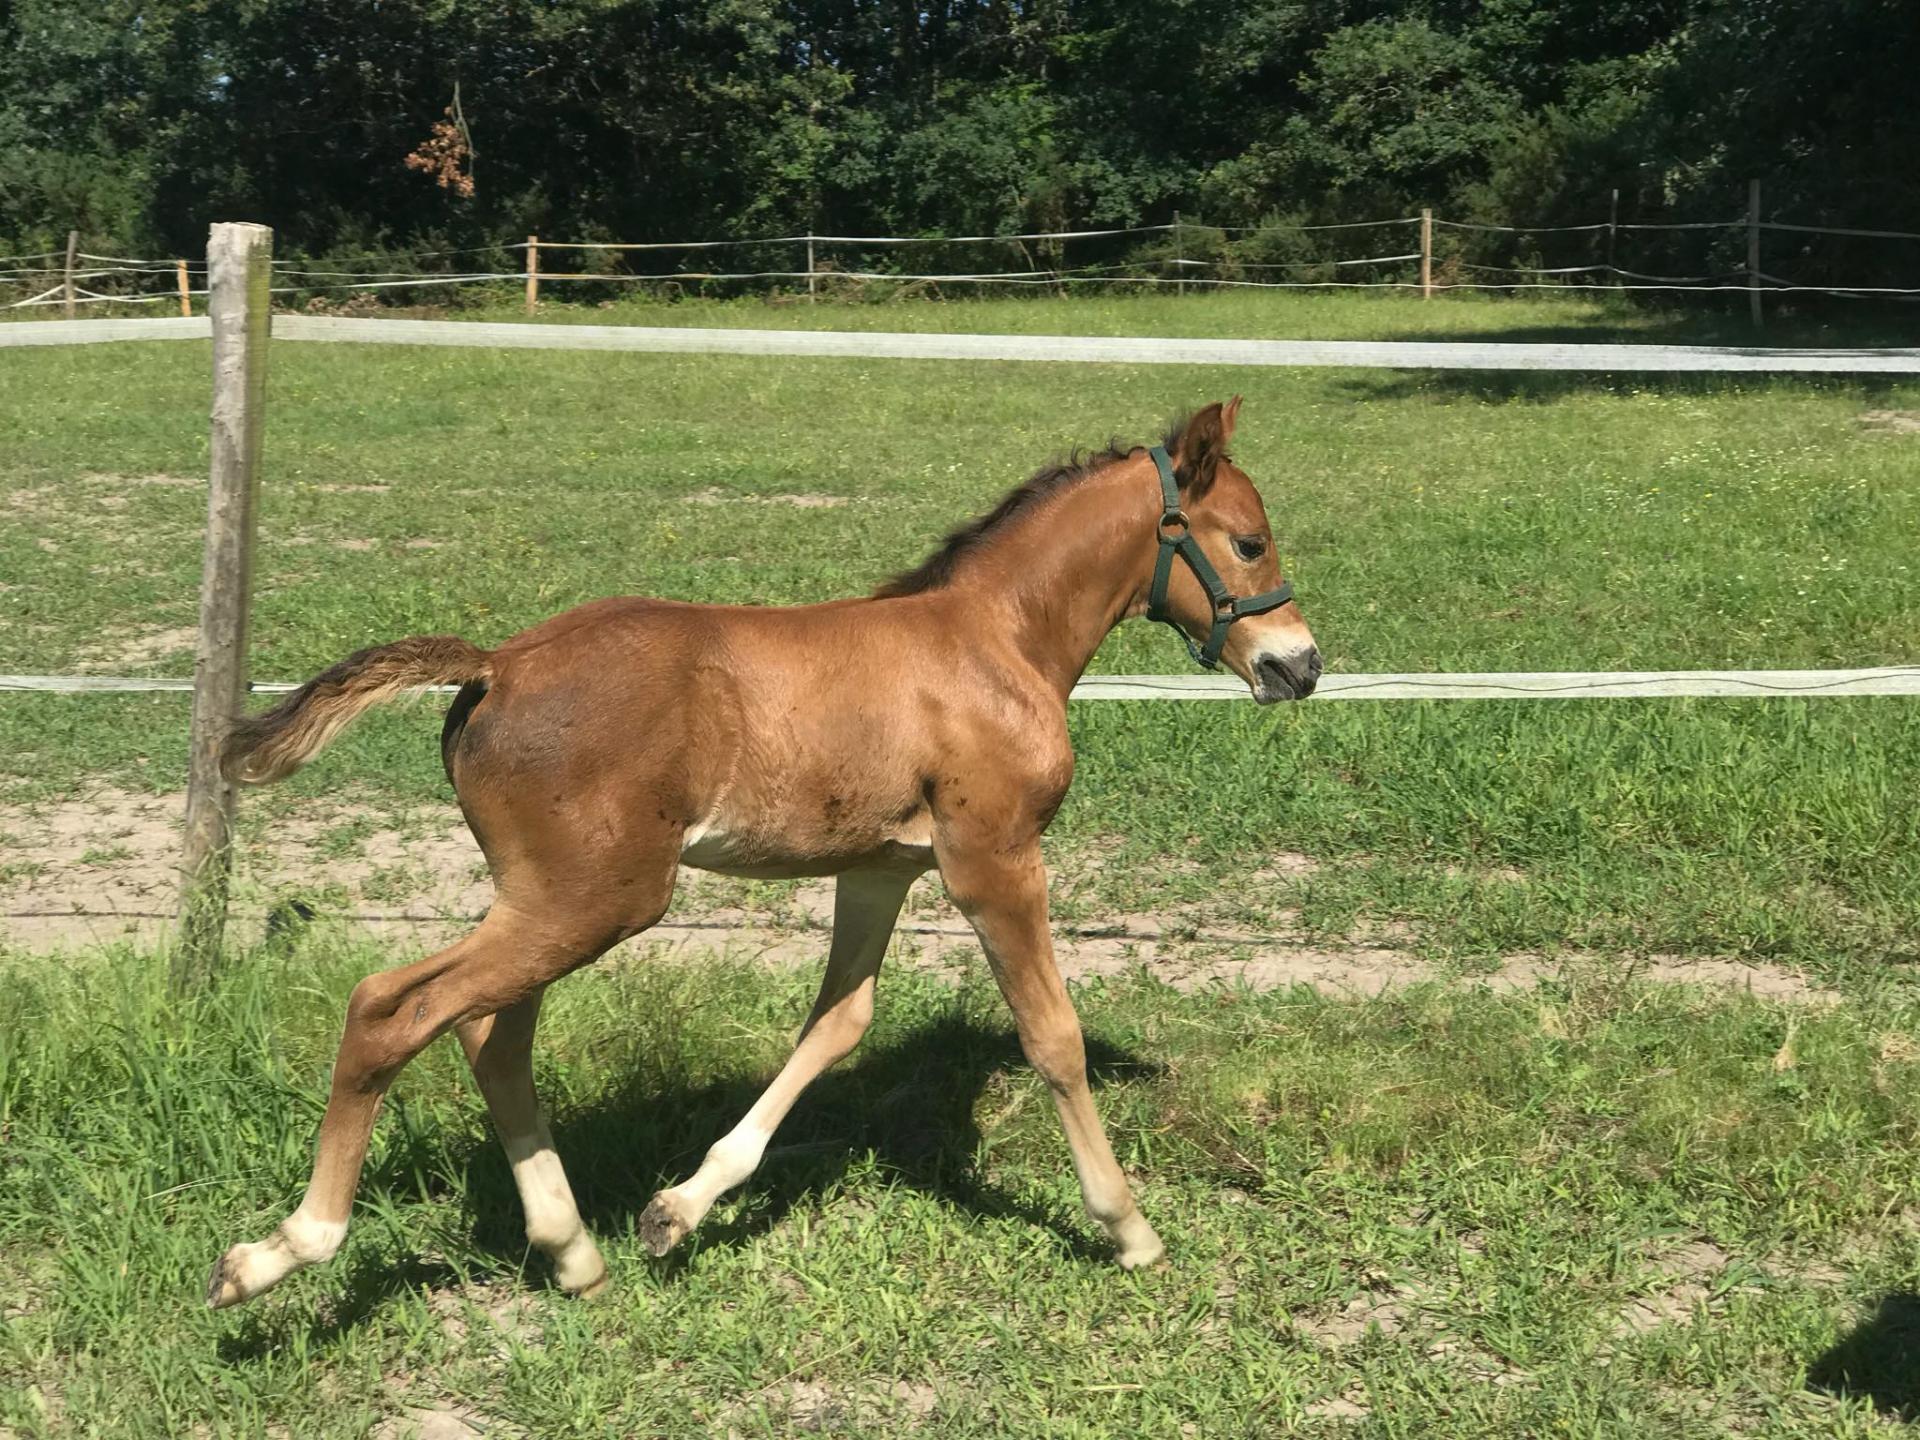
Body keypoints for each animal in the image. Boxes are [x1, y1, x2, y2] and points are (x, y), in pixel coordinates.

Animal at [206, 395, 1320, 1305]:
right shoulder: (993, 859)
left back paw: (574, 1252)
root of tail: (494, 665)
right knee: (391, 1010)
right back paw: (283, 1252)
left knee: (489, 1034)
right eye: (1249, 541)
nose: (1299, 666)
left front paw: (678, 1210)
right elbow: (1054, 1037)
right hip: (598, 898)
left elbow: (837, 1022)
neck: (995, 642)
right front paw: (1129, 1228)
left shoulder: (878, 868)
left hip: (547, 899)